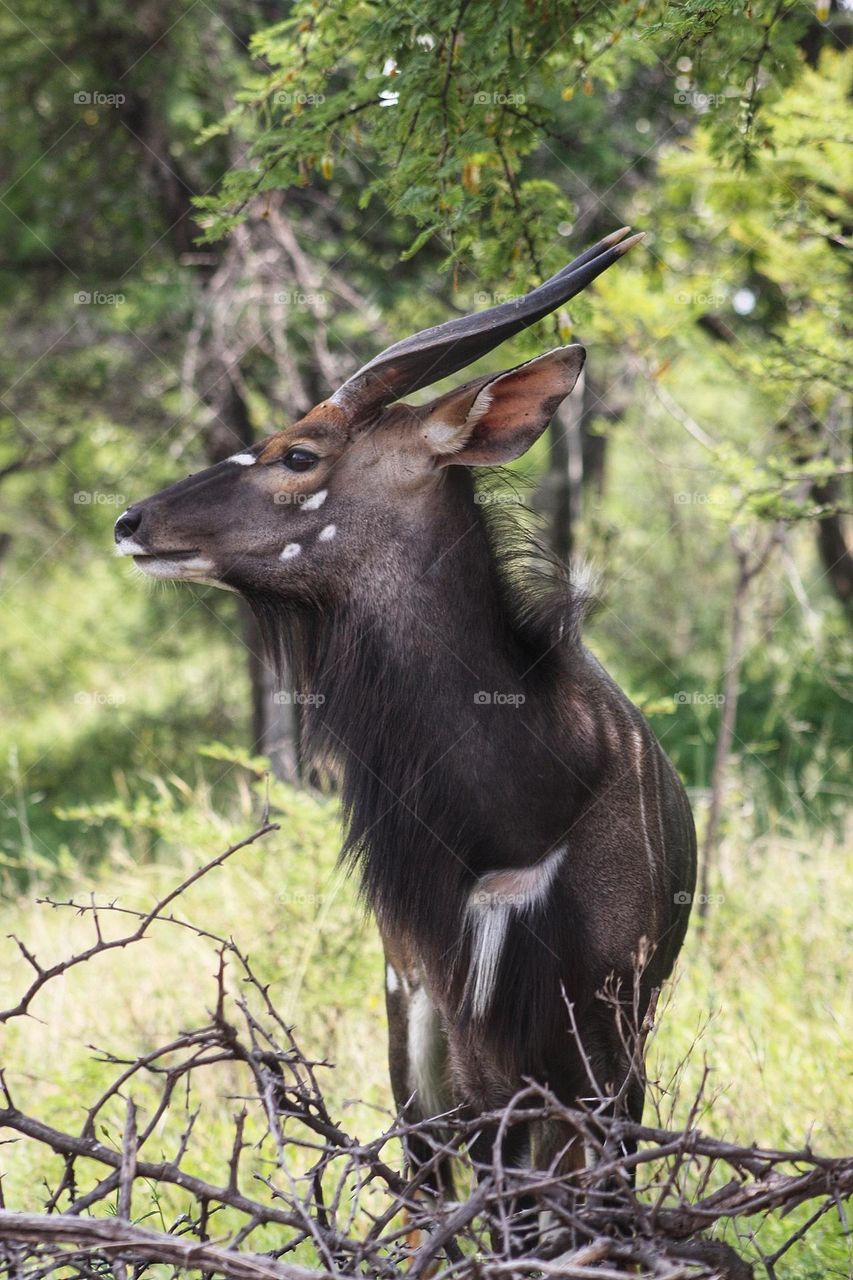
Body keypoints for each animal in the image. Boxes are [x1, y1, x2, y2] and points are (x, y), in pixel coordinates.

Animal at [116, 227, 696, 1218]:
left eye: (299, 454)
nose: (129, 520)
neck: (531, 790)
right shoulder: (459, 1026)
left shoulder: (610, 1025)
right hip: (414, 1041)